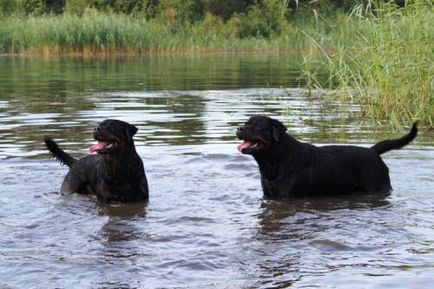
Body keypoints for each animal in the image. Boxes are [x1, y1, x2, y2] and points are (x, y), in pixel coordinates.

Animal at [237, 115, 418, 198]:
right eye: (246, 123)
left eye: (258, 126)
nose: (239, 128)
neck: (275, 160)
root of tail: (373, 151)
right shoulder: (269, 196)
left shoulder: (291, 197)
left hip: (378, 187)